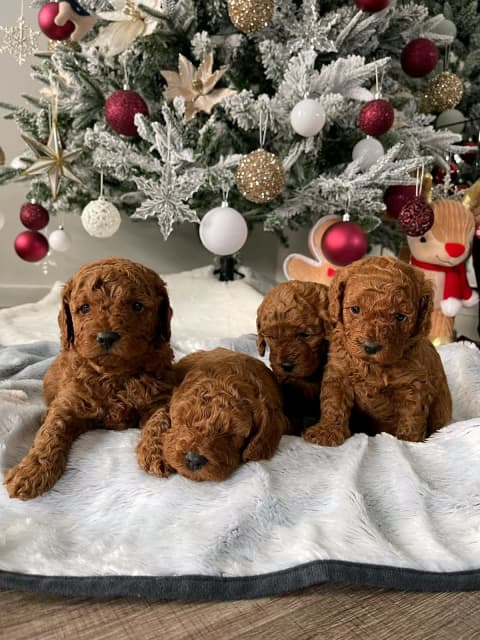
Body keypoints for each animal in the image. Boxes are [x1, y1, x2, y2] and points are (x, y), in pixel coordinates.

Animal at [5, 256, 174, 500]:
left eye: (136, 306)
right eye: (85, 308)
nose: (106, 337)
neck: (115, 375)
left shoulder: (159, 397)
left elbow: (160, 420)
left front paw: (159, 452)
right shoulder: (69, 402)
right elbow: (51, 432)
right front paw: (30, 471)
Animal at [306, 255, 452, 444]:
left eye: (400, 317)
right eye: (355, 309)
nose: (371, 347)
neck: (372, 366)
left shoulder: (412, 385)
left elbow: (411, 415)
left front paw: (407, 441)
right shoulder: (338, 373)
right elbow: (334, 403)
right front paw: (327, 431)